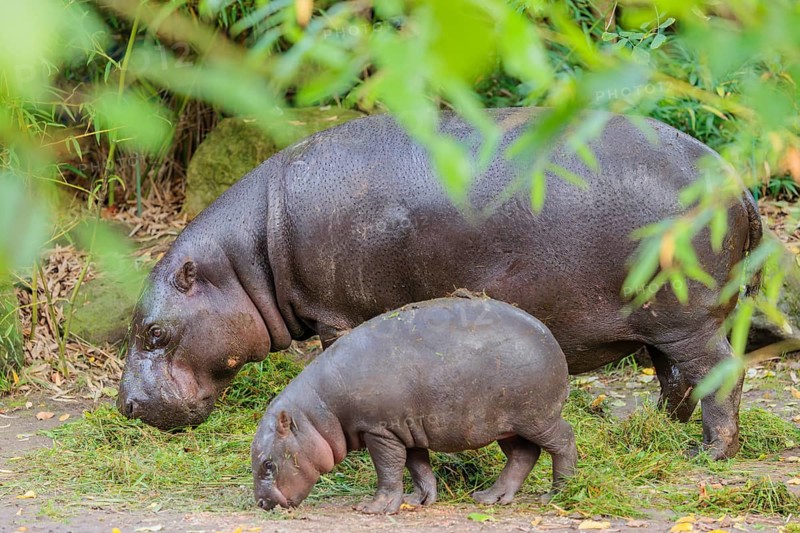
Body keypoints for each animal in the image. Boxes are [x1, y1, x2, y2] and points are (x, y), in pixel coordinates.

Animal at [118, 107, 762, 460]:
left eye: (153, 333)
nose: (125, 406)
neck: (246, 259)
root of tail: (735, 181)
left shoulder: (337, 315)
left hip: (690, 320)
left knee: (720, 376)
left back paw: (707, 453)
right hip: (665, 322)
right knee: (675, 379)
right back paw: (653, 431)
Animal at [251, 294, 577, 514]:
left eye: (268, 464)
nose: (262, 503)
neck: (317, 414)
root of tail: (550, 336)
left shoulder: (379, 431)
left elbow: (388, 469)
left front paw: (375, 508)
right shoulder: (406, 431)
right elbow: (418, 467)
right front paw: (417, 501)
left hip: (537, 417)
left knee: (563, 440)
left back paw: (557, 494)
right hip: (504, 425)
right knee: (523, 455)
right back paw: (490, 497)